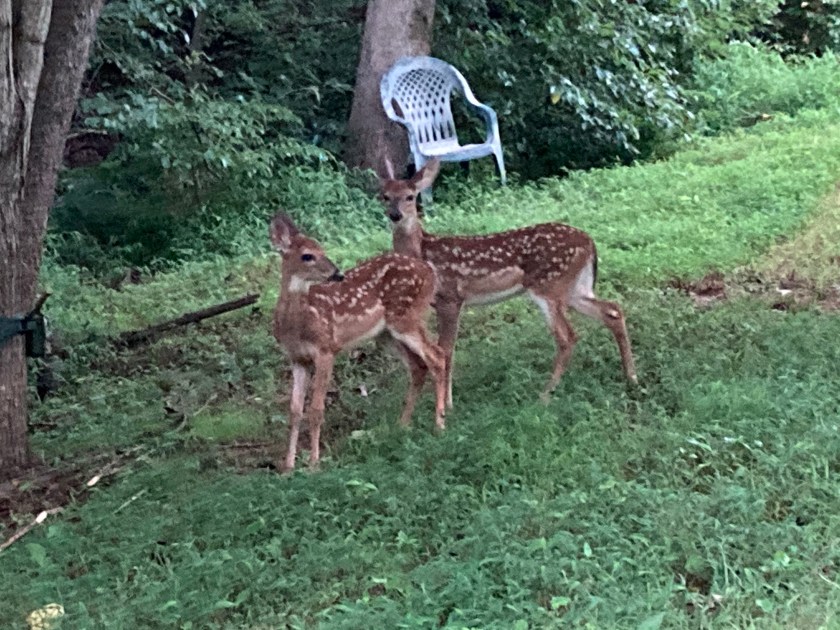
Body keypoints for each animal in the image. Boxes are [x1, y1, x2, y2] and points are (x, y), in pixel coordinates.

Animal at [269, 213, 447, 472]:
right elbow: (294, 411)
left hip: (406, 316)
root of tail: (430, 272)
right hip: (385, 335)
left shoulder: (326, 349)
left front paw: (314, 464)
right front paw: (288, 467)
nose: (338, 274)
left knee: (437, 355)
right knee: (418, 366)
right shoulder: (297, 358)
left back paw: (439, 425)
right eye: (307, 255)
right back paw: (402, 425)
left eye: (322, 248)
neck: (299, 323)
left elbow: (316, 409)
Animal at [378, 159, 638, 405]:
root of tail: (589, 242)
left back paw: (545, 394)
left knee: (567, 337)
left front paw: (448, 404)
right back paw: (631, 378)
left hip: (547, 286)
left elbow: (447, 350)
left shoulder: (450, 297)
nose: (395, 215)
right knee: (612, 311)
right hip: (575, 287)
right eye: (385, 196)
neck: (423, 254)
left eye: (410, 196)